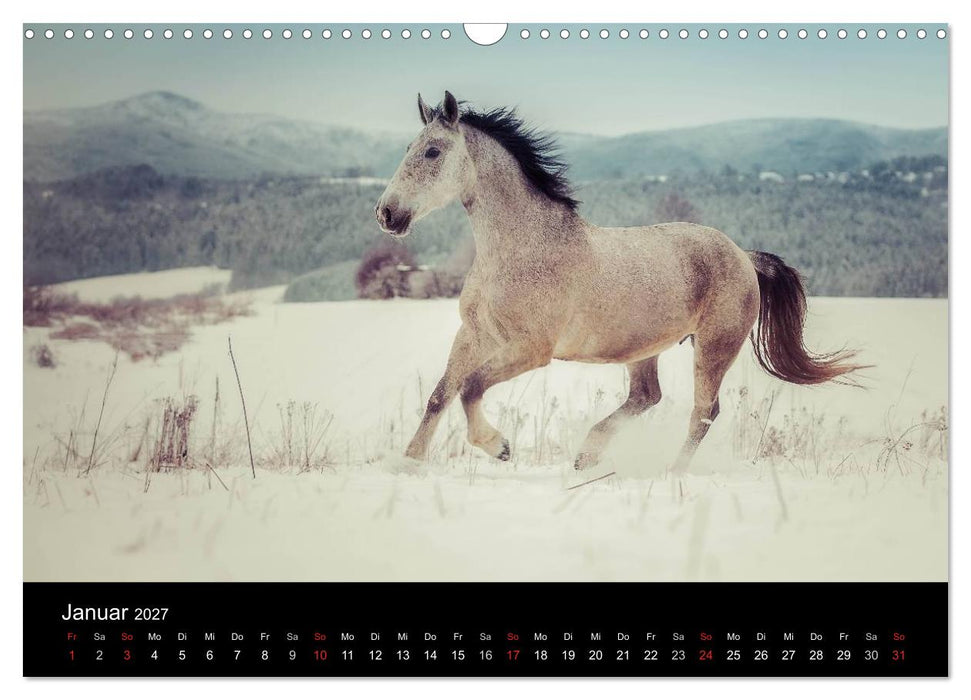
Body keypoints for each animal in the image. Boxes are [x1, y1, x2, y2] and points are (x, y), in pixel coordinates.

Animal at [375, 91, 864, 473]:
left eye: (433, 152)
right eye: (408, 147)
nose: (387, 214)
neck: (521, 250)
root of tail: (744, 256)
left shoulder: (531, 348)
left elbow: (471, 387)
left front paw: (500, 448)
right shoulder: (475, 334)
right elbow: (441, 394)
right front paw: (408, 463)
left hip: (713, 347)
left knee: (704, 412)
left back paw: (669, 472)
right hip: (643, 347)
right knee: (648, 396)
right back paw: (587, 456)